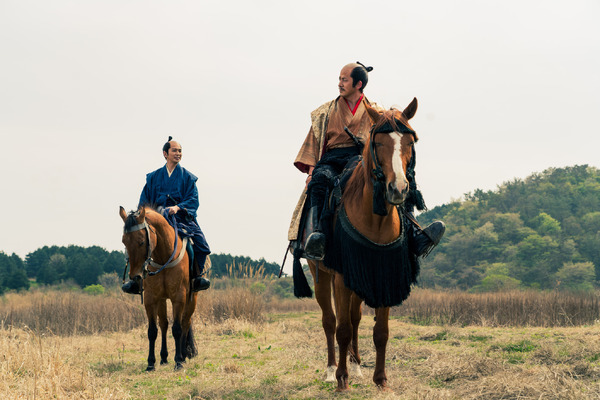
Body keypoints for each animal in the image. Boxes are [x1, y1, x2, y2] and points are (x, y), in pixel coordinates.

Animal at [119, 206, 199, 372]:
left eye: (142, 241)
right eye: (124, 241)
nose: (135, 276)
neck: (163, 257)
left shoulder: (178, 298)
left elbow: (177, 328)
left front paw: (178, 361)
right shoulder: (151, 299)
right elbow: (152, 330)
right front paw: (151, 363)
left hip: (191, 299)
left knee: (185, 323)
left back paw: (182, 355)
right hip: (162, 300)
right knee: (163, 324)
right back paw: (163, 358)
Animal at [308, 97, 420, 390]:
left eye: (410, 142)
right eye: (377, 142)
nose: (398, 189)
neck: (376, 218)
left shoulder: (383, 272)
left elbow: (380, 331)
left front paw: (380, 379)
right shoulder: (341, 275)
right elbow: (342, 328)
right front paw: (341, 379)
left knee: (355, 318)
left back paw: (356, 365)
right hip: (321, 273)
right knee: (330, 320)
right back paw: (332, 369)